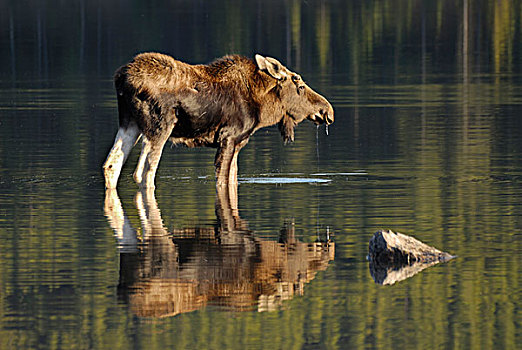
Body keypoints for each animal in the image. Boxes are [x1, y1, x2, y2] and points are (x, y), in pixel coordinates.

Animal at [102, 52, 334, 189]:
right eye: (300, 85)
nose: (327, 111)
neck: (261, 108)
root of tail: (121, 78)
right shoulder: (228, 137)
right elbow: (222, 179)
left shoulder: (238, 142)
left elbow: (232, 178)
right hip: (159, 127)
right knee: (143, 173)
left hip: (130, 123)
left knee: (111, 164)